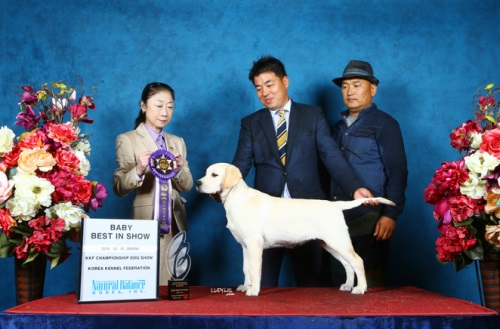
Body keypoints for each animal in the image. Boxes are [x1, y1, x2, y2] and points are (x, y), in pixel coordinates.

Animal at [195, 163, 394, 296]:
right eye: (205, 173)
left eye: (214, 175)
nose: (197, 183)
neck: (237, 198)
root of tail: (335, 205)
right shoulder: (244, 245)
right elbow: (245, 268)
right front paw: (246, 286)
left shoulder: (254, 243)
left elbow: (254, 269)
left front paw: (254, 290)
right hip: (329, 244)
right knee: (347, 264)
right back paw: (347, 286)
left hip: (338, 240)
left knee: (357, 261)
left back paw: (360, 288)